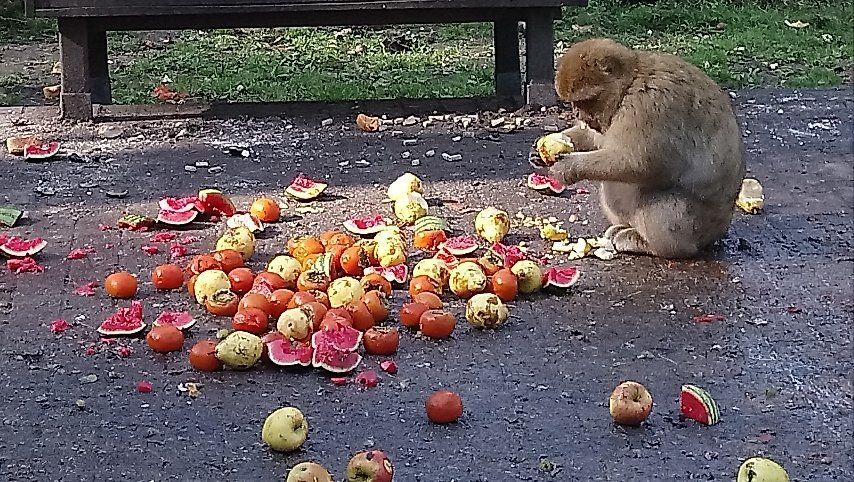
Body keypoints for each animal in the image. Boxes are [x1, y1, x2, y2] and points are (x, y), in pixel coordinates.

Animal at [529, 38, 746, 258]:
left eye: (584, 101)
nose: (577, 114)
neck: (630, 83)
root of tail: (718, 232)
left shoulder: (648, 105)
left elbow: (639, 163)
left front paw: (569, 167)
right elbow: (594, 138)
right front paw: (541, 152)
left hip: (697, 227)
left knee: (660, 204)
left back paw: (649, 244)